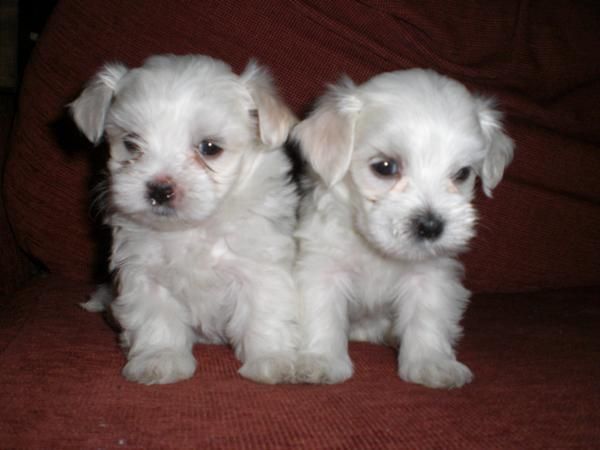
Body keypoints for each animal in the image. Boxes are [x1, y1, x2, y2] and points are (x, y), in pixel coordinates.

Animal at [71, 53, 300, 384]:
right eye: (131, 143)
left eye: (209, 148)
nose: (159, 189)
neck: (192, 228)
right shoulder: (145, 273)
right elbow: (156, 318)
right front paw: (160, 359)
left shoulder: (259, 265)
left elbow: (265, 312)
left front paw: (274, 360)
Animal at [292, 68, 512, 388]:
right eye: (385, 167)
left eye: (462, 173)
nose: (431, 226)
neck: (376, 250)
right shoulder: (322, 268)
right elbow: (321, 313)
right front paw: (319, 361)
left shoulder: (430, 277)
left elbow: (427, 317)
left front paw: (432, 364)